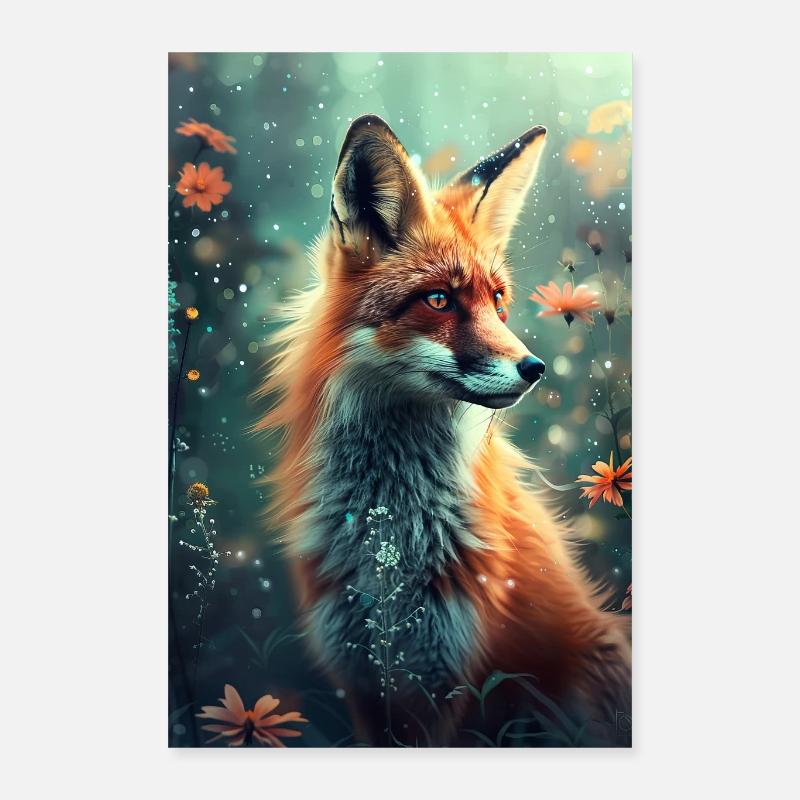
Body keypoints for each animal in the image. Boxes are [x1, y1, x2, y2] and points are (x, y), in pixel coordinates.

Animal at [256, 115, 631, 746]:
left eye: (498, 301)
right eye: (438, 299)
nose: (535, 368)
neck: (392, 538)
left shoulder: (450, 678)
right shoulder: (363, 676)